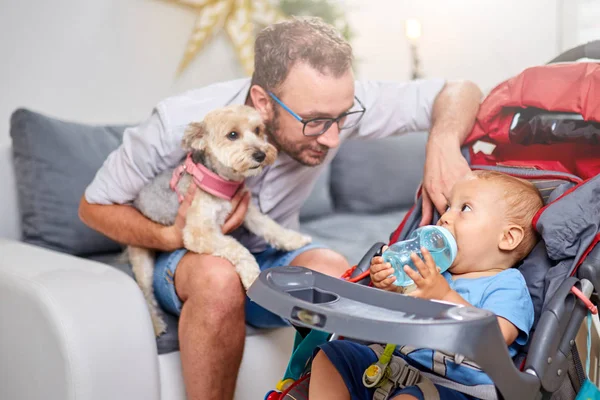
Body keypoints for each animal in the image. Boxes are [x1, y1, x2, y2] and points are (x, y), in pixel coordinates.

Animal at [128, 104, 312, 334]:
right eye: (232, 135)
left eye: (258, 130)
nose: (261, 154)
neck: (221, 180)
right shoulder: (199, 233)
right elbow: (238, 248)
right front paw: (253, 277)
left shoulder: (249, 212)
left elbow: (269, 226)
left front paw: (294, 239)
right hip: (142, 259)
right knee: (146, 294)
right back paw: (155, 324)